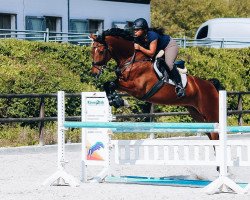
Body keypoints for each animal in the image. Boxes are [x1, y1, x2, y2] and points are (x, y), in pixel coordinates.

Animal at [90, 28, 223, 141]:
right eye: (92, 50)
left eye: (101, 51)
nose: (94, 73)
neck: (133, 60)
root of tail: (210, 85)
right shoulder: (123, 82)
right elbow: (109, 84)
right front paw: (116, 101)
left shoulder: (137, 89)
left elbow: (111, 84)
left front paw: (120, 101)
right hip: (197, 114)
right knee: (212, 135)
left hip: (211, 114)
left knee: (216, 135)